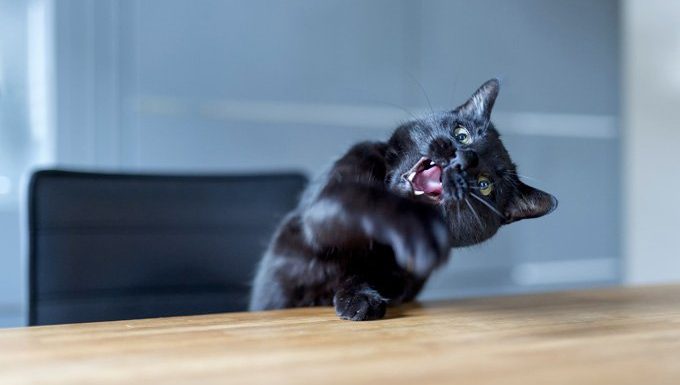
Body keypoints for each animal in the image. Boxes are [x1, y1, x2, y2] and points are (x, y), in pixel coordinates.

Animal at [250, 78, 556, 318]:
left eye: (485, 185)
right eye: (462, 135)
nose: (464, 157)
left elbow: (362, 275)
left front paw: (359, 298)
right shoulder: (327, 201)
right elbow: (364, 203)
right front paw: (414, 228)